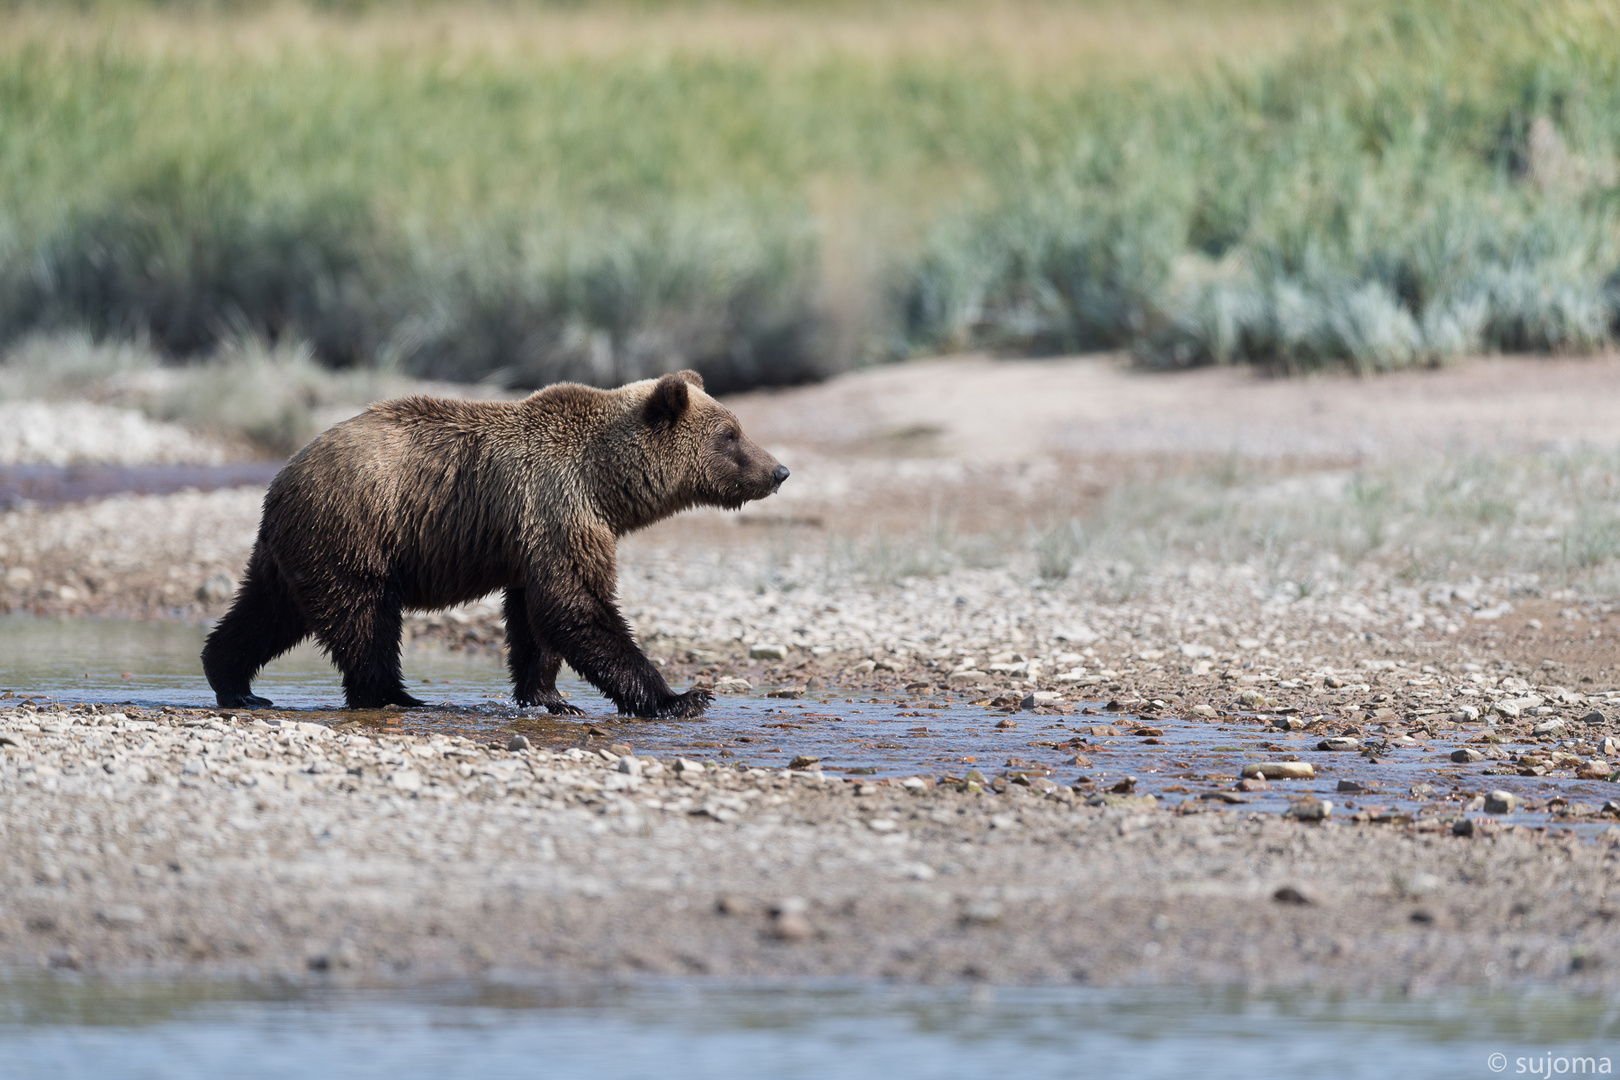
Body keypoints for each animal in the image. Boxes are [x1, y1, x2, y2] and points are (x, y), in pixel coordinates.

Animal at [202, 369, 784, 718]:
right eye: (731, 434)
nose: (778, 470)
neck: (605, 482)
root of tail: (282, 477)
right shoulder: (558, 505)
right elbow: (576, 606)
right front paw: (682, 696)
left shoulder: (535, 538)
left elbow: (536, 619)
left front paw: (551, 696)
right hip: (356, 532)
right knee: (364, 621)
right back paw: (396, 695)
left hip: (295, 550)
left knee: (266, 612)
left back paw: (236, 683)